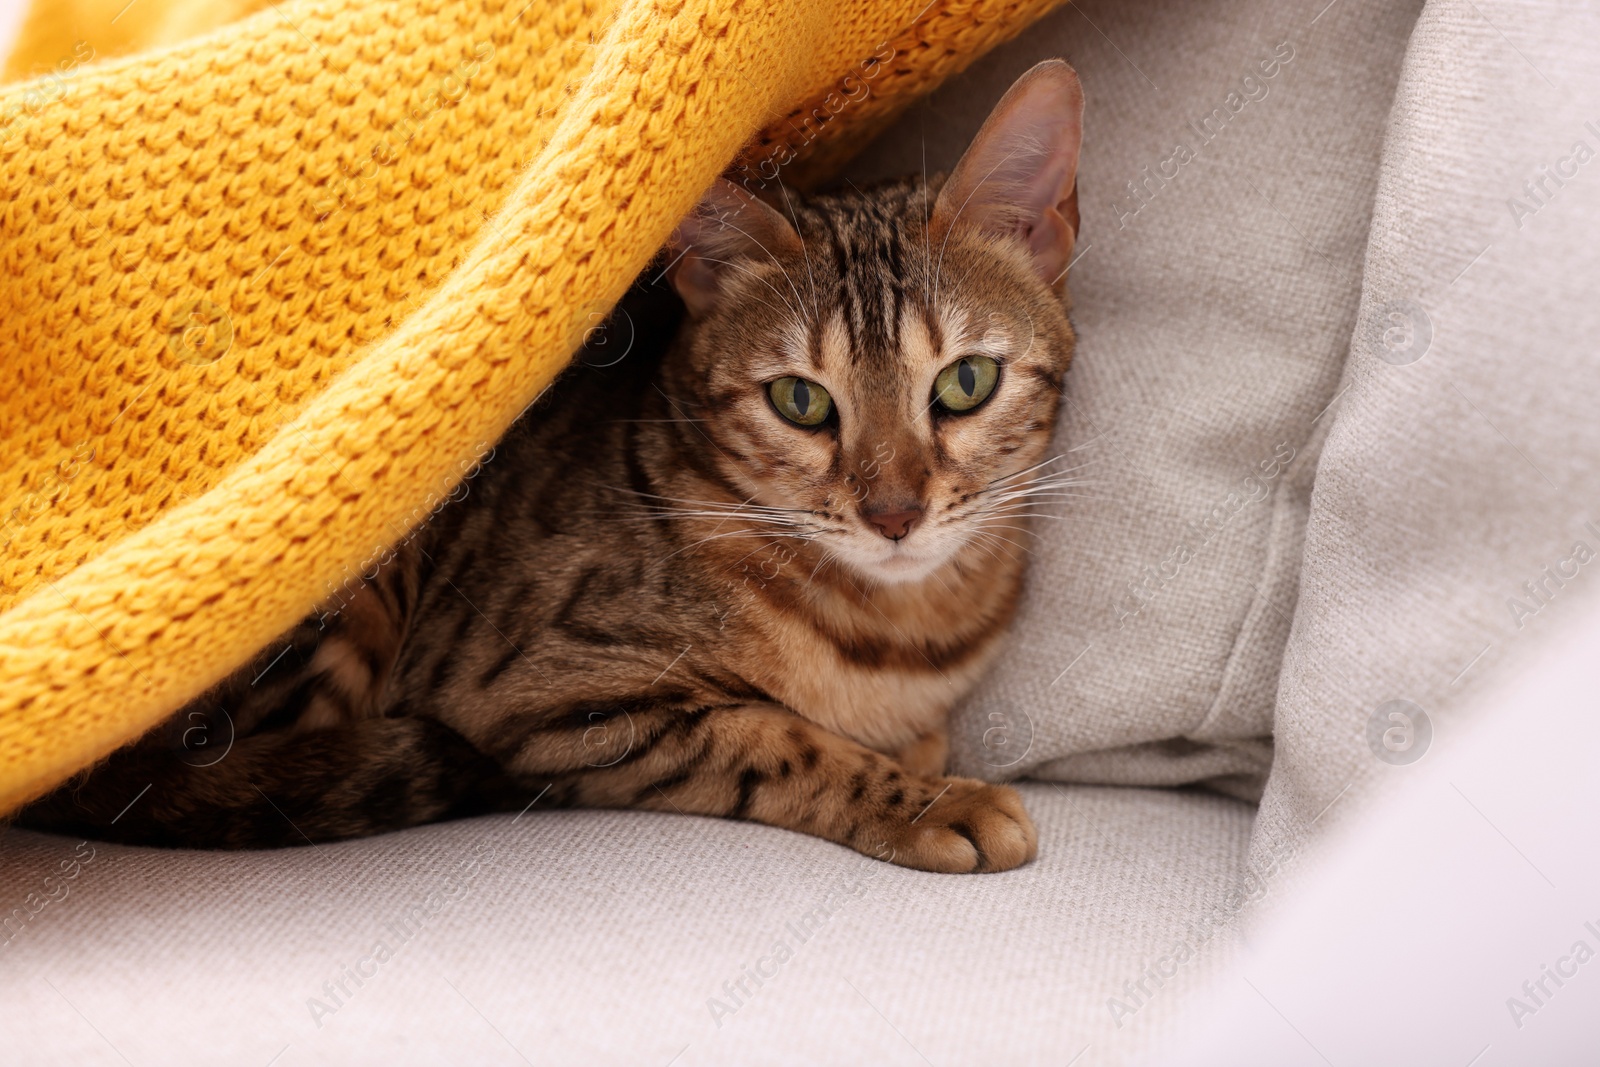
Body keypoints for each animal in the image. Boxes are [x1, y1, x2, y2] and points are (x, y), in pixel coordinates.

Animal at [15, 60, 1088, 876]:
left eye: (966, 382)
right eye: (801, 401)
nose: (893, 511)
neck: (903, 631)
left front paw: (923, 759)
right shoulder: (544, 693)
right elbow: (772, 738)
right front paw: (927, 801)